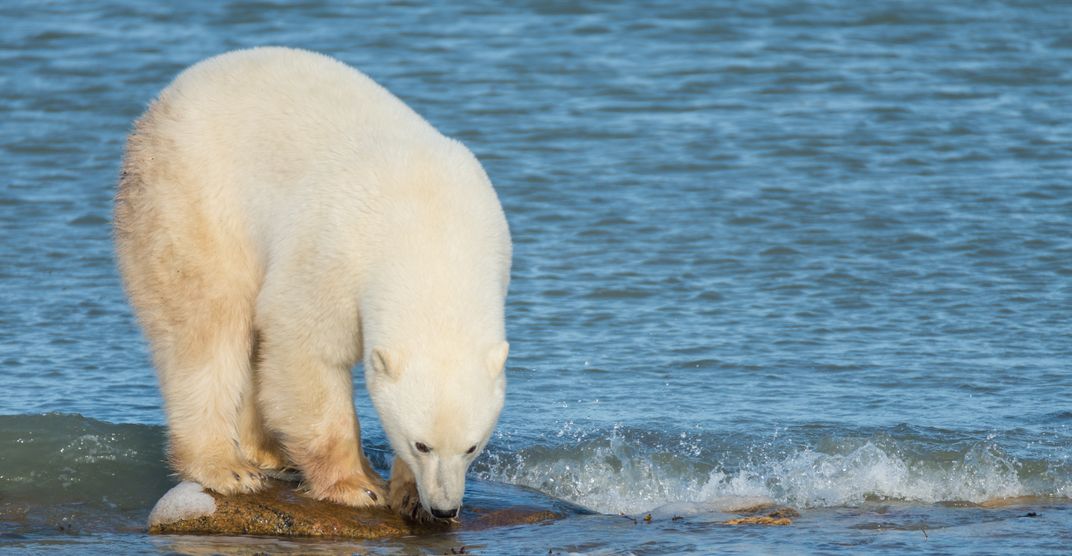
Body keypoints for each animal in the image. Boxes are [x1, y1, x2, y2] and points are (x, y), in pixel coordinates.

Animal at [115, 47, 508, 522]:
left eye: (472, 447)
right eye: (422, 444)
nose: (446, 508)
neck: (430, 234)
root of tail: (165, 98)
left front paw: (409, 495)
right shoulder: (335, 248)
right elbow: (305, 346)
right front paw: (357, 486)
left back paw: (269, 453)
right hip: (192, 197)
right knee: (209, 325)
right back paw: (227, 467)